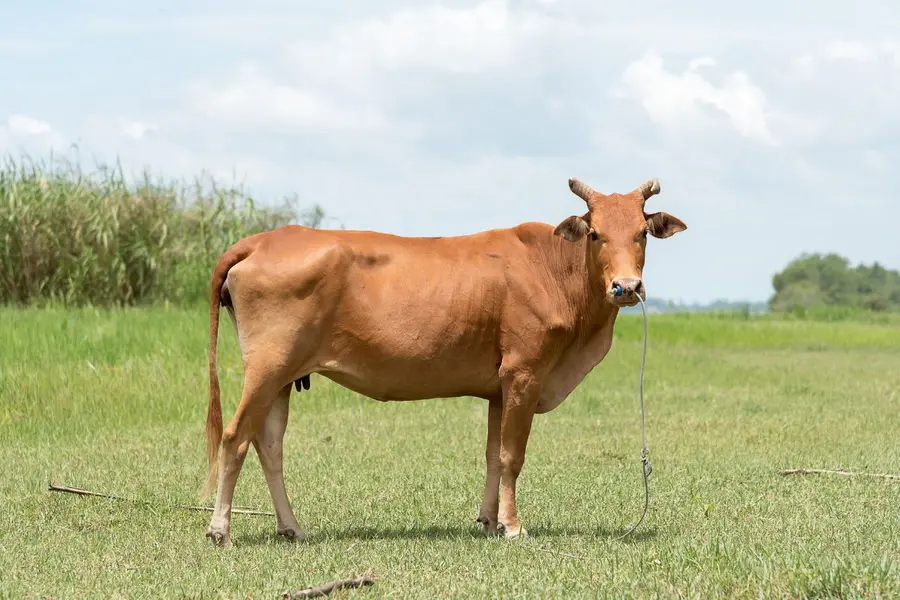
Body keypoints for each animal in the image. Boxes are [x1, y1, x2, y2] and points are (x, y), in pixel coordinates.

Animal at [200, 177, 687, 548]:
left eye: (641, 233)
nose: (627, 287)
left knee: (269, 445)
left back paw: (292, 528)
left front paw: (489, 521)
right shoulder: (525, 373)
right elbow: (512, 455)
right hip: (267, 368)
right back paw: (220, 530)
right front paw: (513, 526)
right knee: (235, 437)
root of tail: (263, 239)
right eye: (595, 233)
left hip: (284, 376)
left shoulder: (499, 387)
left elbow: (493, 454)